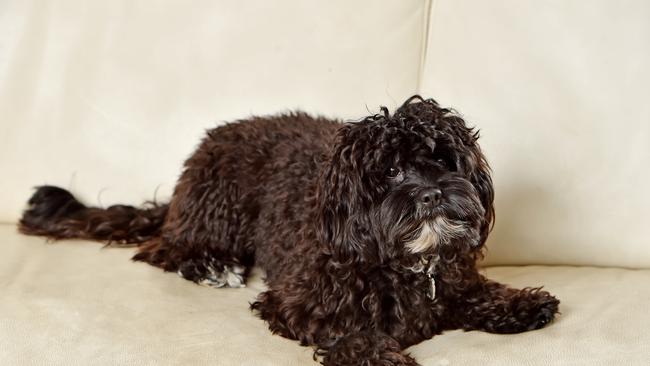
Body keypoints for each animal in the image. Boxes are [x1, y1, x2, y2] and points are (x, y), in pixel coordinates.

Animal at [20, 96, 556, 366]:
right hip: (220, 209)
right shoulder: (297, 302)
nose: (432, 195)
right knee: (163, 249)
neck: (404, 262)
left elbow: (476, 292)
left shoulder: (453, 278)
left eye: (443, 161)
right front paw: (379, 356)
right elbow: (349, 330)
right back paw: (214, 266)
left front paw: (520, 303)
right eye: (390, 172)